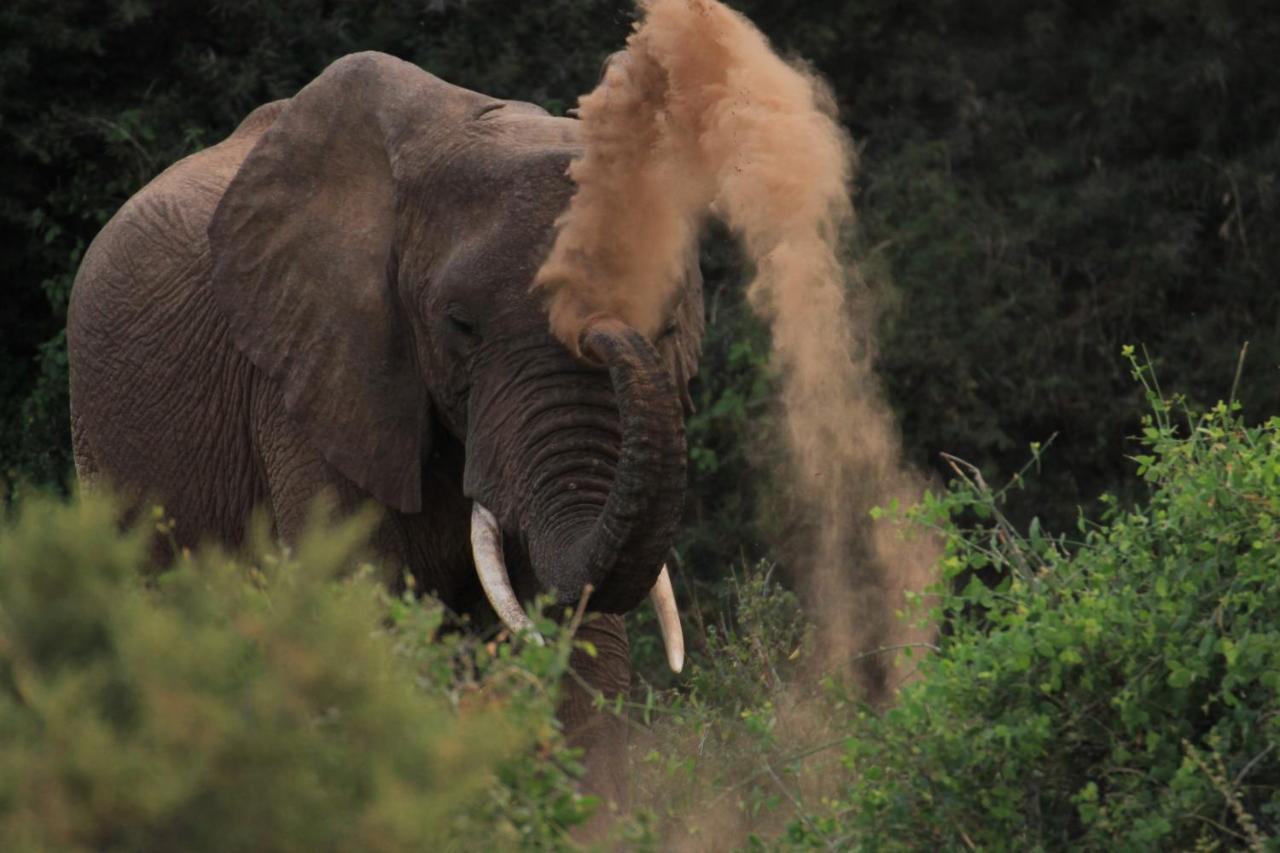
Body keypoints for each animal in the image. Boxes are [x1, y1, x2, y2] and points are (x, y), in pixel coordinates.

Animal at [66, 49, 706, 814]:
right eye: (460, 324)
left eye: (669, 321)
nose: (603, 323)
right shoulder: (308, 369)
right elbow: (359, 602)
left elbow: (587, 646)